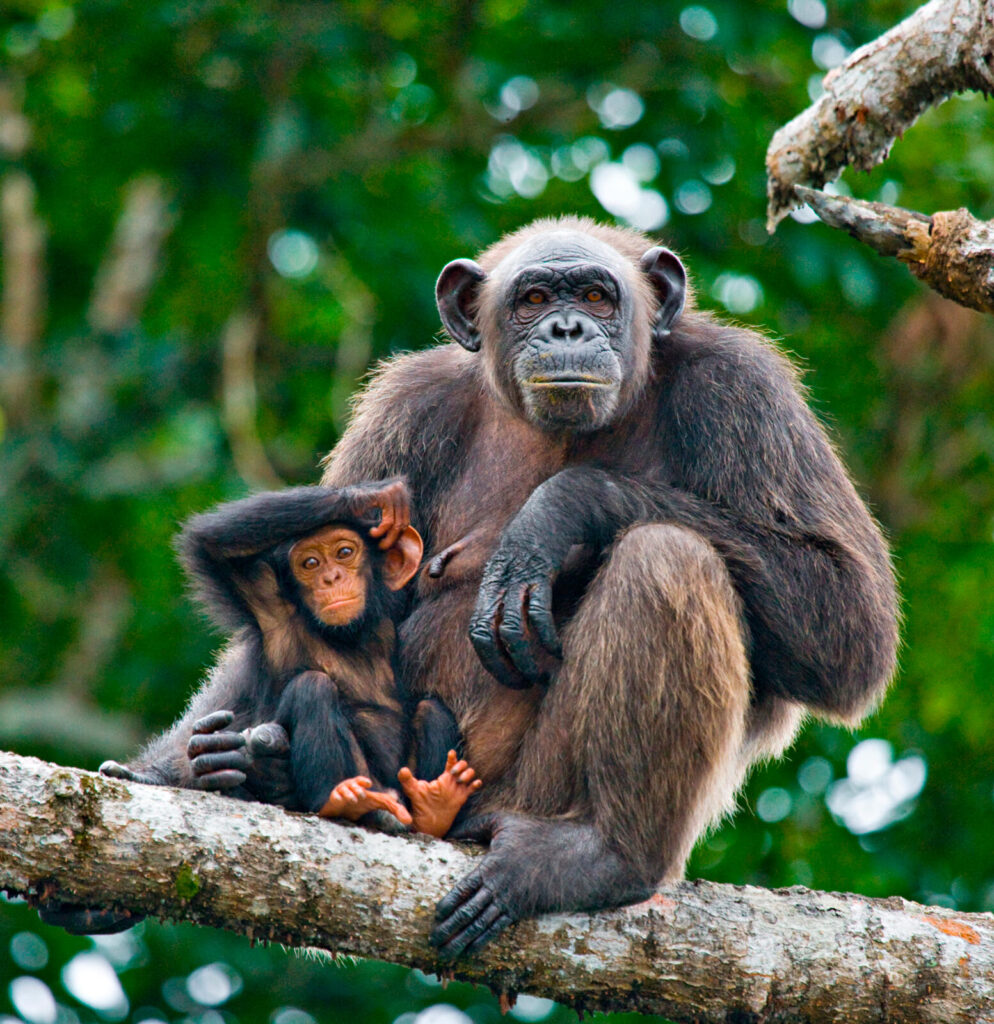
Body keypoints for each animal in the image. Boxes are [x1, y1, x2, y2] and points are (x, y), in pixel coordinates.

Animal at [319, 216, 899, 958]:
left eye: (596, 295)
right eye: (534, 299)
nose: (567, 327)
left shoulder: (744, 390)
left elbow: (850, 619)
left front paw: (557, 511)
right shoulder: (404, 411)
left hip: (530, 797)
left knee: (666, 557)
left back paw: (604, 857)